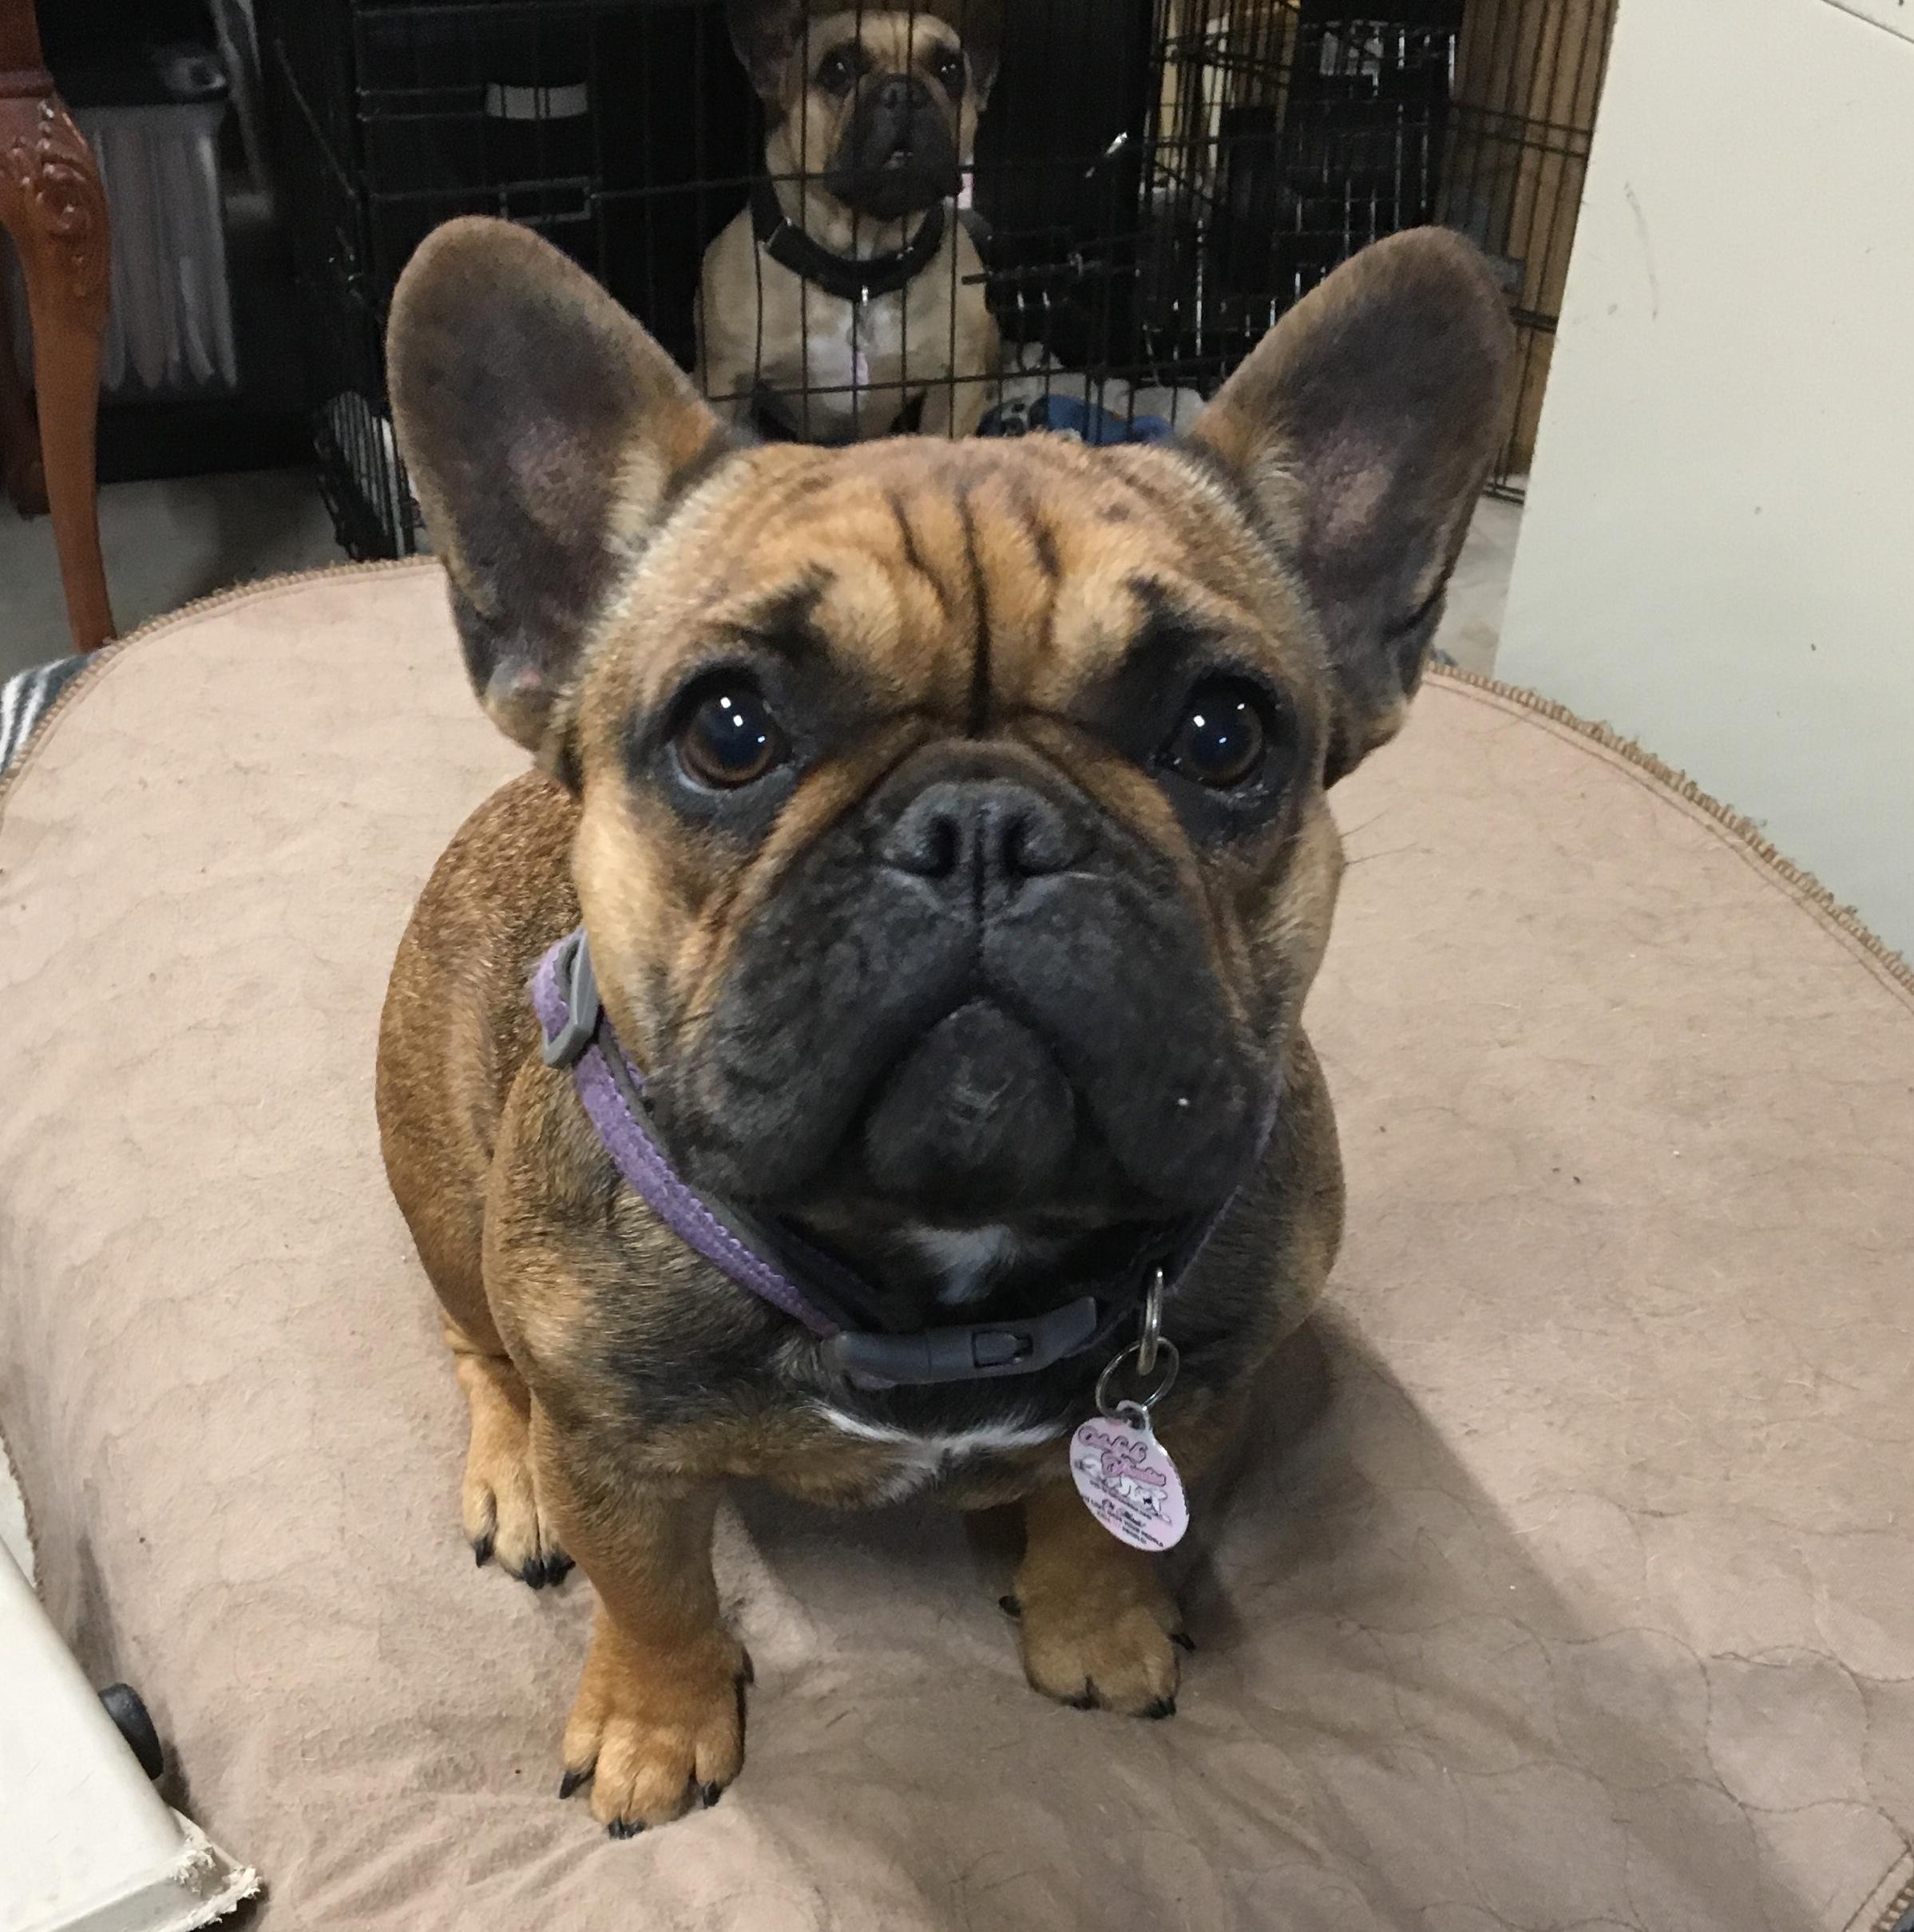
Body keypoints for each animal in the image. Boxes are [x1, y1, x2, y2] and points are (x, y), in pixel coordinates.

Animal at [376, 213, 1510, 1835]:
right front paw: (657, 1724)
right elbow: (653, 1594)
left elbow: (1111, 1532)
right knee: (479, 1349)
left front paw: (1095, 1628)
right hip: (440, 1195)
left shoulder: (1204, 1382)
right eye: (728, 729)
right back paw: (510, 1477)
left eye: (1222, 732)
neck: (939, 1267)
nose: (983, 827)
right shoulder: (616, 1447)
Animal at [695, 0, 1001, 441]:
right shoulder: (726, 381)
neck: (861, 268)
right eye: (837, 70)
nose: (905, 91)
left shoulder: (957, 386)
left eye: (950, 71)